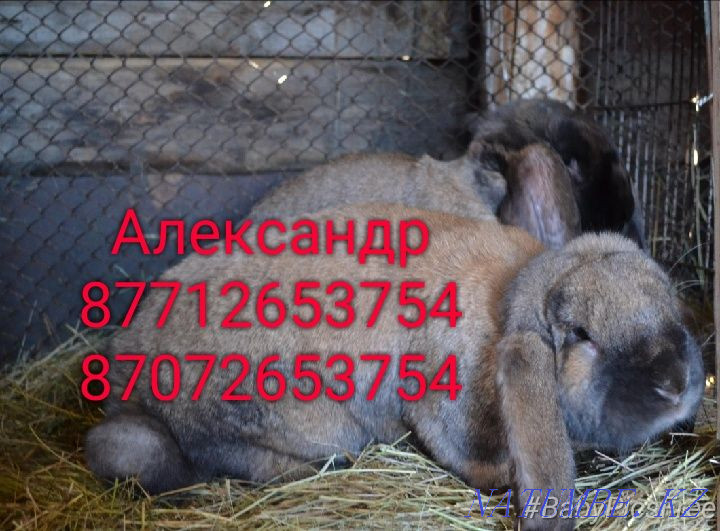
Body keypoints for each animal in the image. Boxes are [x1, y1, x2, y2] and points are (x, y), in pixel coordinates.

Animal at [85, 204, 703, 529]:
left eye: (670, 301)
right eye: (581, 336)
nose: (675, 384)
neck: (508, 304)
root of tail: (126, 377)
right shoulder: (443, 409)